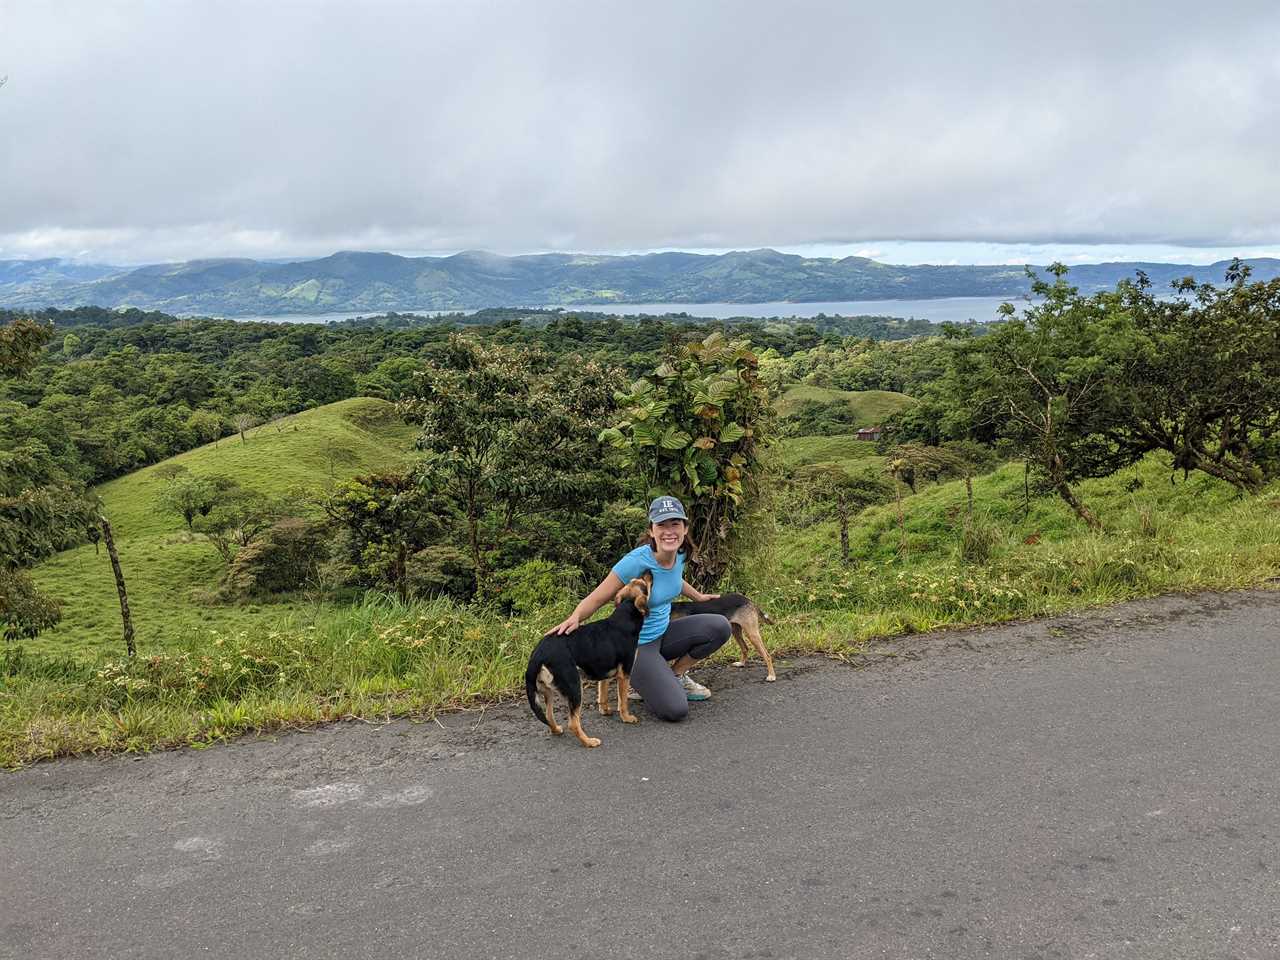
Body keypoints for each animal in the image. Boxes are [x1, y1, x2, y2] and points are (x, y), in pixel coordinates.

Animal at [527, 576, 650, 747]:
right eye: (645, 584)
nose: (648, 572)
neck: (624, 616)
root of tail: (538, 655)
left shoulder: (605, 671)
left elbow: (603, 694)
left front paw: (605, 711)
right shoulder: (624, 674)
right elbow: (623, 701)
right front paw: (627, 718)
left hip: (547, 690)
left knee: (549, 716)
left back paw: (557, 730)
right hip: (574, 686)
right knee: (573, 722)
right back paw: (589, 741)